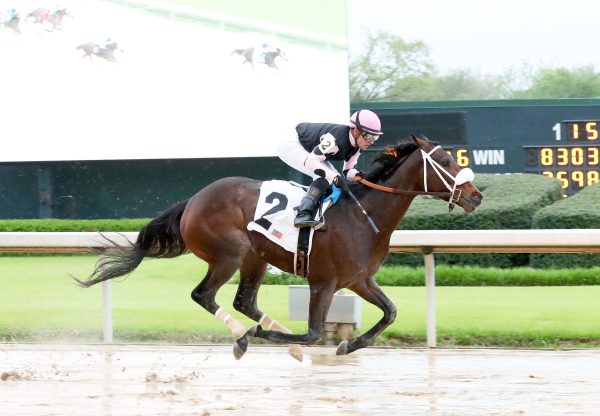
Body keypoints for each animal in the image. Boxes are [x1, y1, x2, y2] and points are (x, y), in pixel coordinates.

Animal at [75, 136, 482, 360]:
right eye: (445, 161)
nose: (476, 195)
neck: (362, 214)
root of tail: (191, 200)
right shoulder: (324, 282)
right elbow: (315, 332)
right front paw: (269, 337)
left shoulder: (358, 280)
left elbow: (390, 313)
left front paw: (347, 347)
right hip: (229, 254)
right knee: (204, 295)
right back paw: (243, 337)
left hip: (254, 258)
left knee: (245, 302)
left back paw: (270, 338)